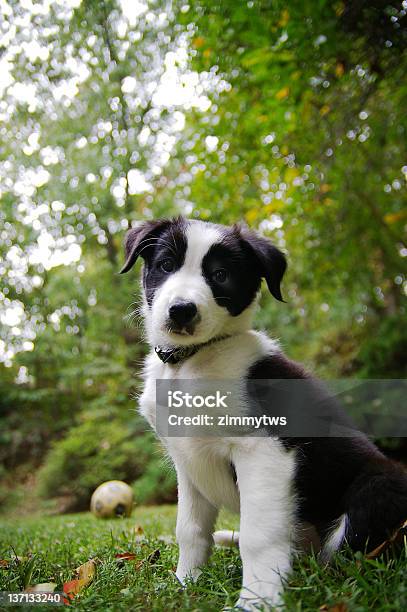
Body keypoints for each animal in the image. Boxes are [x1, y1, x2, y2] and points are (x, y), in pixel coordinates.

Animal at [121, 218, 407, 608]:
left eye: (221, 275)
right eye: (166, 265)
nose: (181, 310)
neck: (191, 362)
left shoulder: (264, 450)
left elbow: (258, 535)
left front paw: (257, 601)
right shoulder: (187, 461)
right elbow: (189, 529)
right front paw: (185, 584)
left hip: (381, 483)